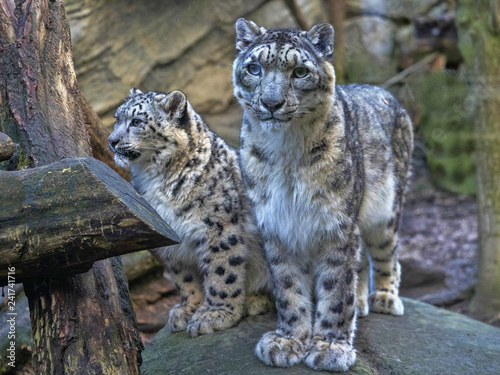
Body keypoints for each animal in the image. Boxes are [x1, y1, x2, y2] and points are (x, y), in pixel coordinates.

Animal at [108, 89, 274, 340]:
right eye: (117, 118)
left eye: (136, 122)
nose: (112, 141)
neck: (155, 179)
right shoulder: (168, 237)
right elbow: (182, 277)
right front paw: (188, 309)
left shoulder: (218, 229)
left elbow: (222, 271)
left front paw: (214, 315)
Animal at [232, 18, 412, 374]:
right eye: (254, 67)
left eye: (300, 71)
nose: (271, 103)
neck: (285, 152)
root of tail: (388, 94)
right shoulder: (277, 225)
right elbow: (288, 287)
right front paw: (287, 341)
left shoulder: (337, 225)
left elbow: (335, 289)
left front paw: (329, 346)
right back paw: (362, 302)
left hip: (386, 213)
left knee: (386, 253)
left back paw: (384, 298)